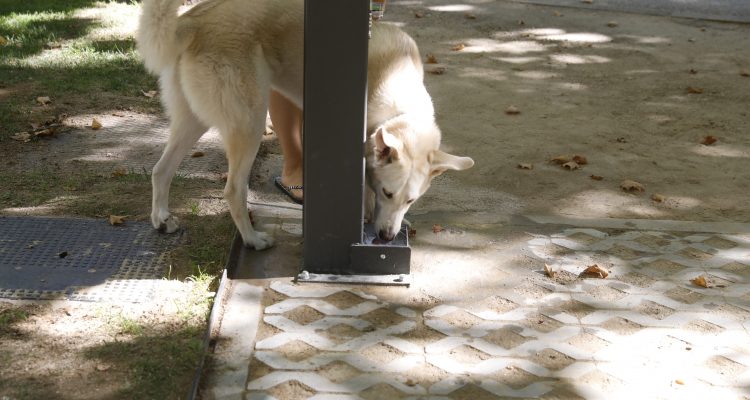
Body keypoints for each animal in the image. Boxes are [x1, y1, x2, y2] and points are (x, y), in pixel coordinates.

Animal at [138, 0, 472, 248]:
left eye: (411, 200)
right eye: (388, 193)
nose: (388, 237)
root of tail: (191, 22)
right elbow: (365, 194)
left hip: (192, 122)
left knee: (160, 170)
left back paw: (161, 220)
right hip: (250, 123)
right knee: (233, 190)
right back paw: (252, 240)